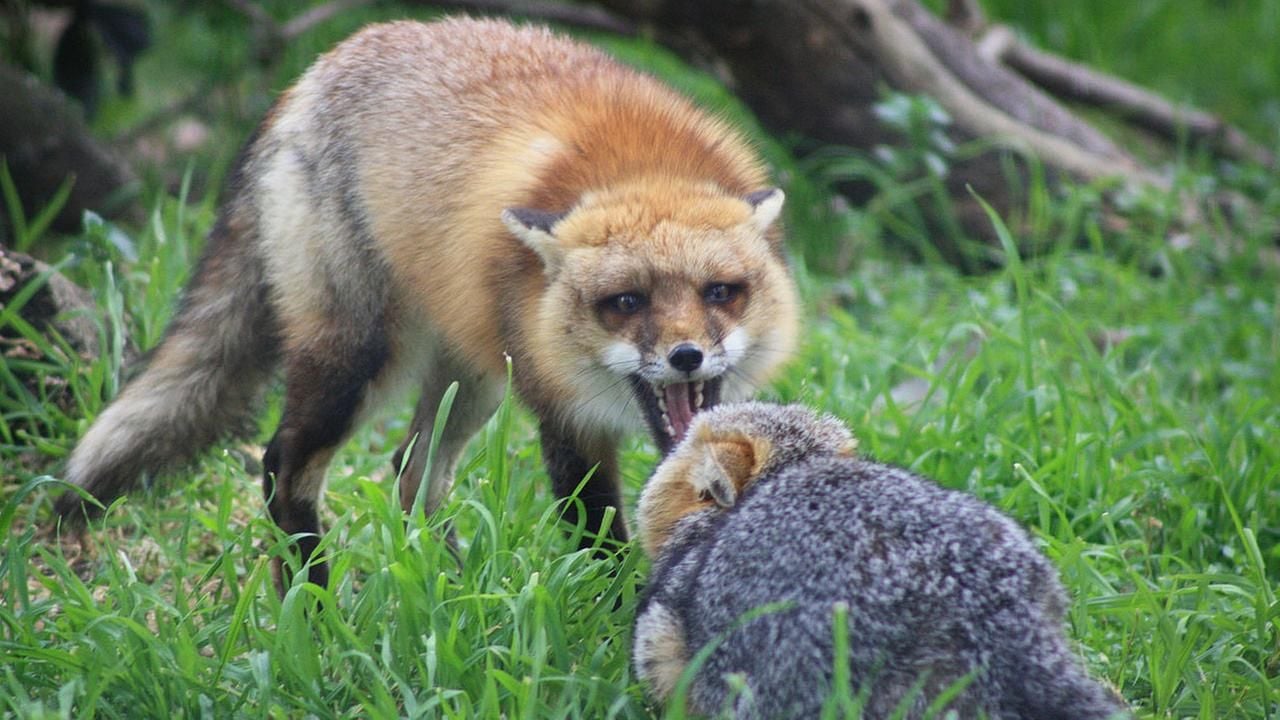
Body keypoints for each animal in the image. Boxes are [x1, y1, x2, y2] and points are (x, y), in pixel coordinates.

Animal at [60, 16, 803, 589]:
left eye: (720, 293)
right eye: (625, 301)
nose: (686, 356)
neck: (639, 167)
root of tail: (312, 74)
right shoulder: (562, 412)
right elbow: (599, 537)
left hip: (474, 375)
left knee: (411, 473)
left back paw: (449, 590)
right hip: (358, 360)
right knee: (282, 466)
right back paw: (314, 603)